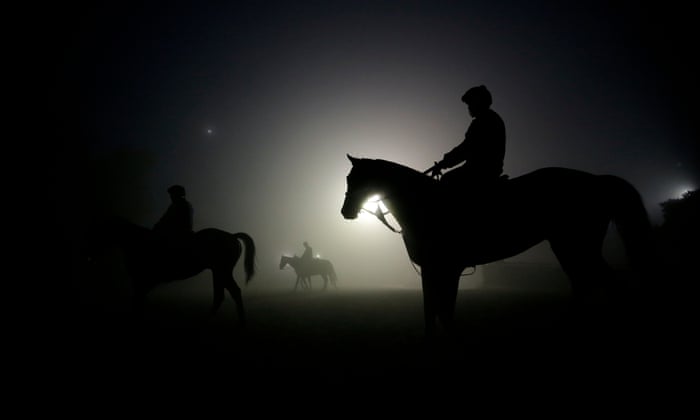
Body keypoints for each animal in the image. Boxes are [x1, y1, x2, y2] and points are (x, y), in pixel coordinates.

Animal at [342, 156, 652, 336]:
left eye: (357, 178)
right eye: (348, 178)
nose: (346, 212)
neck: (425, 204)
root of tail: (597, 181)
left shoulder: (447, 269)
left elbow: (444, 309)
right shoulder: (433, 270)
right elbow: (434, 310)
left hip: (578, 245)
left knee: (604, 280)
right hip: (566, 245)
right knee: (584, 281)